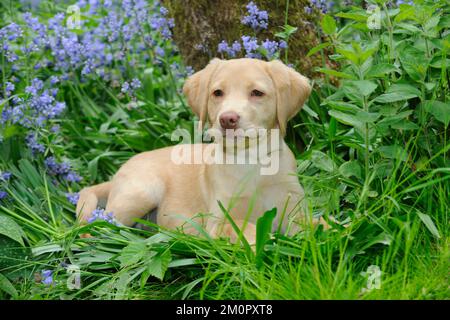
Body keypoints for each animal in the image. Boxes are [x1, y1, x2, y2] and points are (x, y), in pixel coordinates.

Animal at [76, 58, 320, 242]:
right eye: (217, 93)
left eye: (257, 93)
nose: (227, 119)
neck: (251, 160)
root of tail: (116, 175)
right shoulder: (217, 221)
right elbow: (241, 226)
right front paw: (263, 239)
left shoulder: (294, 207)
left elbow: (317, 224)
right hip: (140, 194)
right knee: (91, 229)